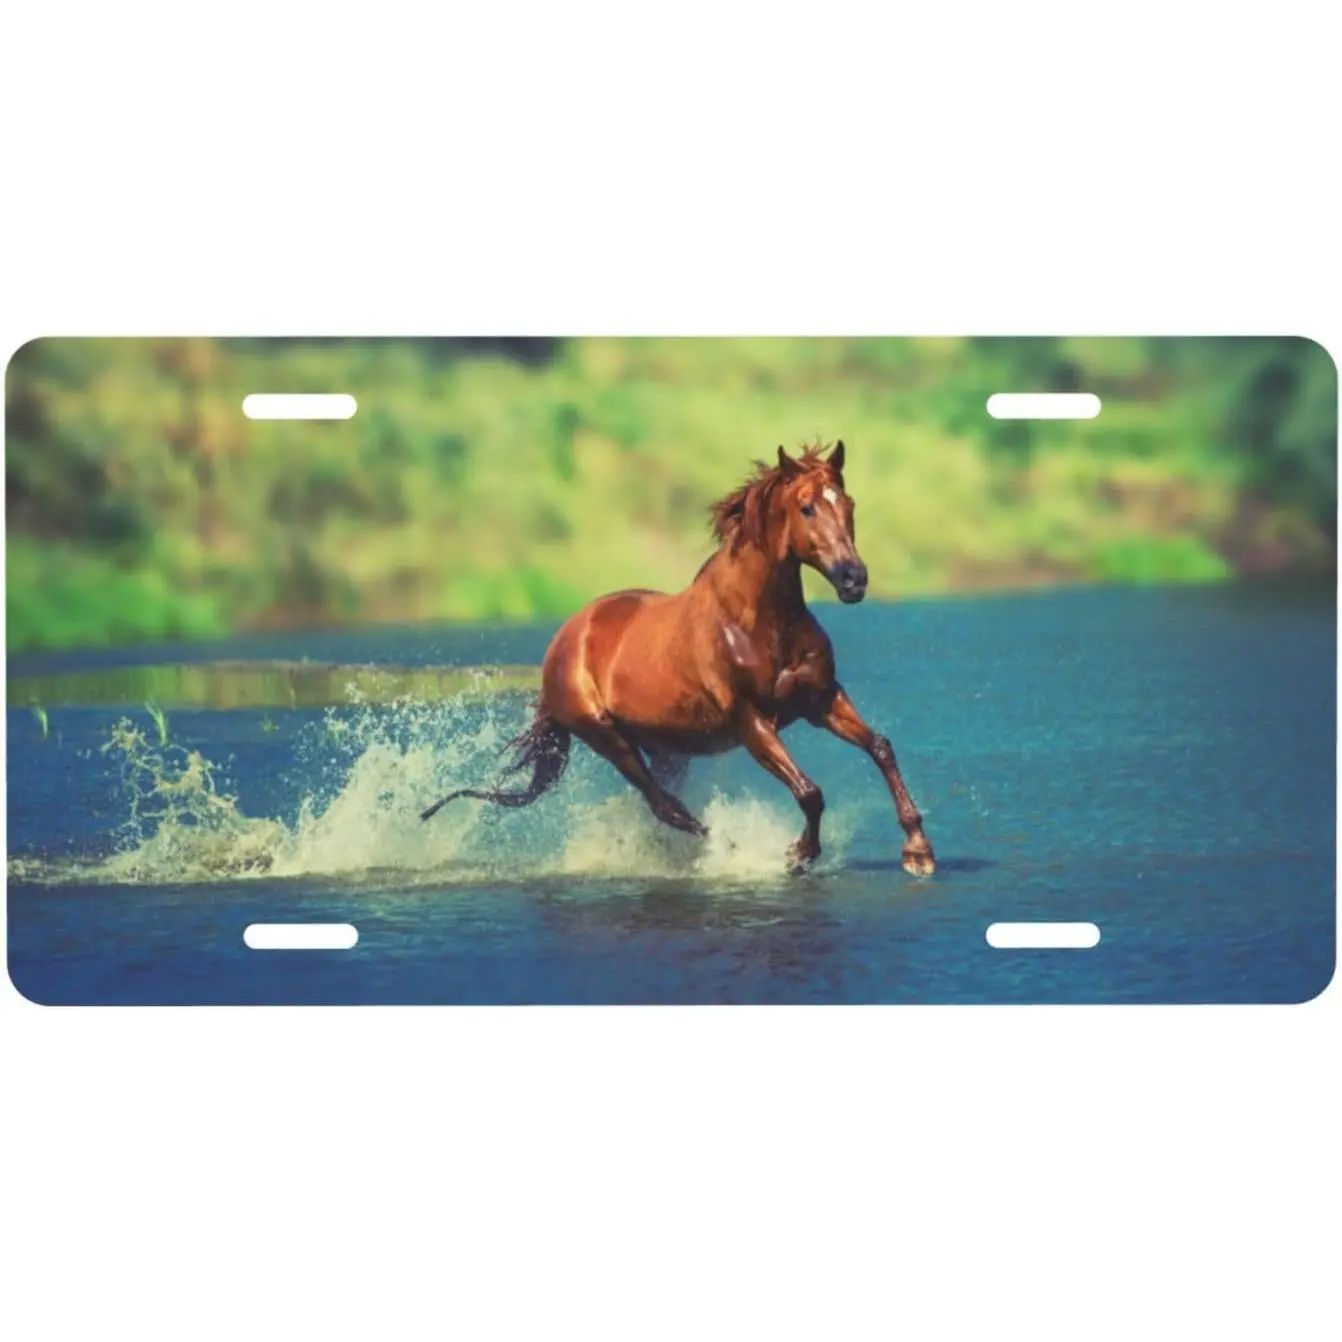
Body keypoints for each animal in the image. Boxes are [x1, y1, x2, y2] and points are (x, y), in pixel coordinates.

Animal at [421, 440, 936, 876]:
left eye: (848, 505)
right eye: (806, 506)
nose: (853, 579)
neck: (758, 622)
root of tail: (563, 643)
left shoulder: (821, 699)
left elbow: (880, 747)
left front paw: (918, 851)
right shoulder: (753, 722)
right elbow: (810, 792)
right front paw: (798, 854)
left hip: (668, 747)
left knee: (664, 804)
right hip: (608, 738)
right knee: (665, 805)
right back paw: (728, 848)